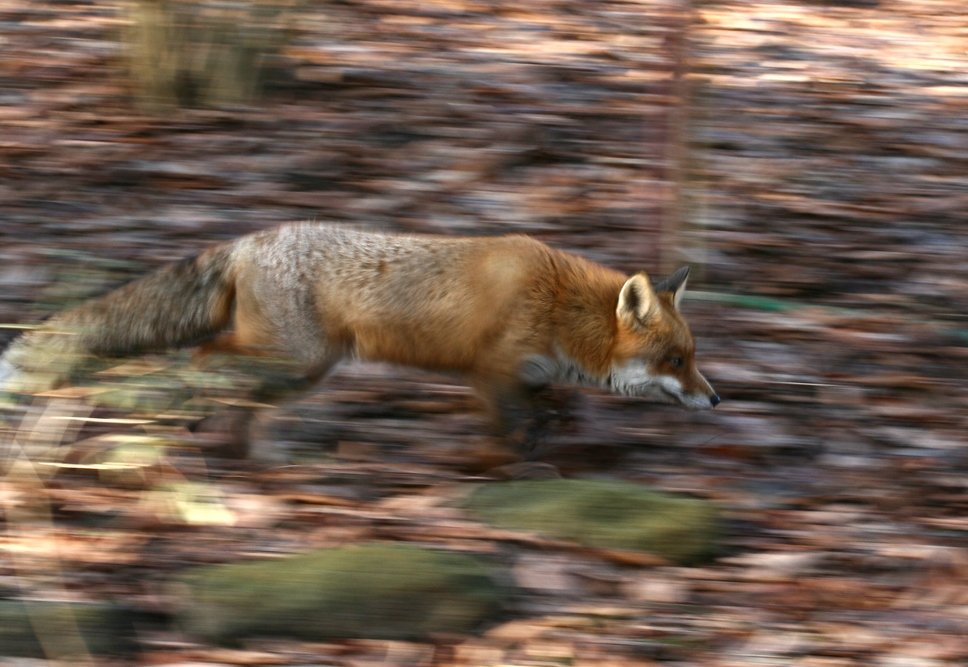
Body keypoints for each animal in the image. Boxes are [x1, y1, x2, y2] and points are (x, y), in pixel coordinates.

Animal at [0, 223, 720, 454]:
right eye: (675, 359)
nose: (717, 400)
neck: (557, 306)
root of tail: (252, 238)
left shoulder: (529, 376)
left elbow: (548, 413)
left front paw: (552, 442)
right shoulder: (489, 372)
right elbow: (505, 430)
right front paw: (499, 469)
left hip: (305, 368)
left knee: (241, 389)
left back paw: (245, 443)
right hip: (299, 357)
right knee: (204, 356)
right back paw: (213, 423)